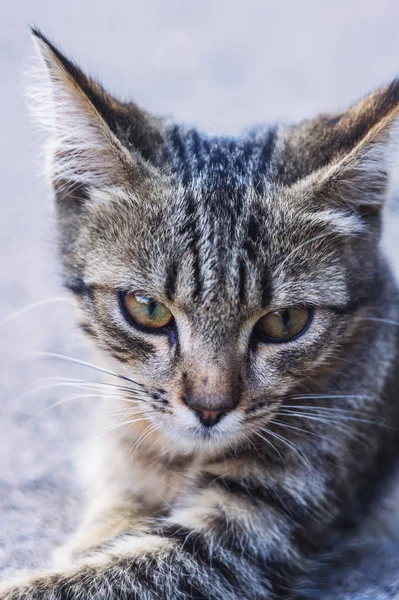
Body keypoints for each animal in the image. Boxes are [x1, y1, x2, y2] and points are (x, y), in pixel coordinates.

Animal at [0, 27, 399, 600]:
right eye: (147, 309)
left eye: (285, 322)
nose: (210, 409)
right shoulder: (123, 474)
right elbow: (103, 532)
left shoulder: (247, 533)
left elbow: (103, 576)